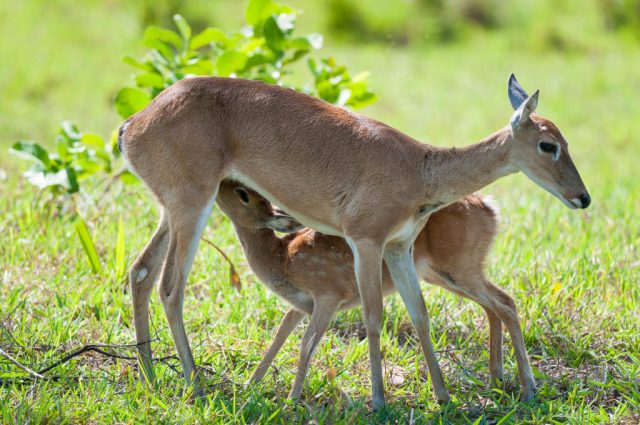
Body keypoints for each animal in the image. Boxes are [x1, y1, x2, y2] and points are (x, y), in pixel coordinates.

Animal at [215, 180, 528, 400]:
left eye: (243, 193)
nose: (221, 181)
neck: (282, 258)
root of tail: (491, 208)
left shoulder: (327, 293)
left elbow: (306, 344)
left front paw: (292, 399)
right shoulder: (300, 305)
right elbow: (279, 335)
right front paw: (250, 384)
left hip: (459, 266)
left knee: (506, 303)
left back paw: (527, 388)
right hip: (443, 273)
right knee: (495, 305)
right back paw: (497, 377)